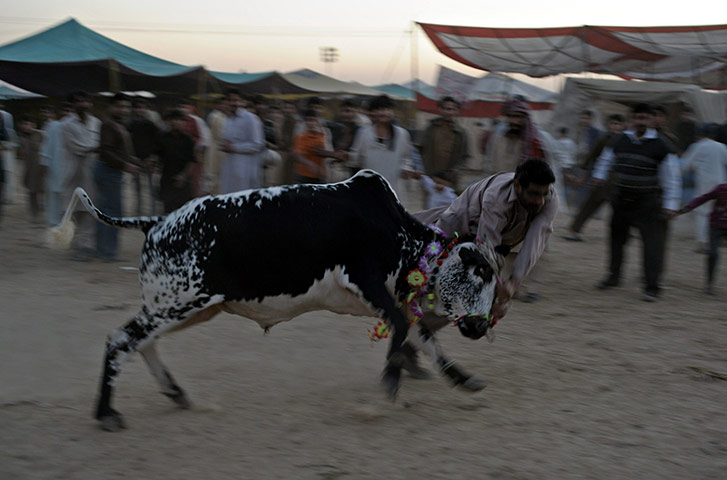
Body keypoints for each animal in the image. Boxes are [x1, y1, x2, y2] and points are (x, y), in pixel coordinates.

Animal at [65, 171, 500, 434]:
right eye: (480, 273)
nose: (480, 326)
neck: (398, 232)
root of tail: (155, 222)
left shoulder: (383, 296)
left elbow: (423, 335)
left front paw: (464, 379)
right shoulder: (364, 279)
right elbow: (404, 325)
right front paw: (390, 383)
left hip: (186, 307)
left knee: (142, 342)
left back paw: (176, 393)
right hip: (180, 303)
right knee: (121, 340)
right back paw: (107, 413)